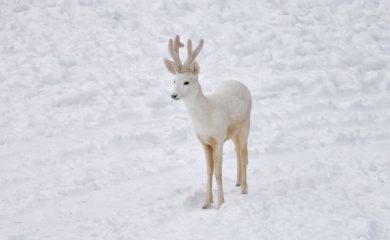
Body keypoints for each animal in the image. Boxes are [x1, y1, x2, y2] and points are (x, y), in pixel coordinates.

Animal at [163, 35, 251, 208]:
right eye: (174, 81)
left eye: (187, 82)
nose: (173, 95)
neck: (205, 118)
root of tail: (241, 84)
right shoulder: (203, 141)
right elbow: (209, 171)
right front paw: (206, 203)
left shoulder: (218, 137)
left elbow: (218, 171)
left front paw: (220, 203)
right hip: (233, 132)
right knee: (238, 150)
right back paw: (237, 182)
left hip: (246, 124)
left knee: (244, 153)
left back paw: (244, 189)